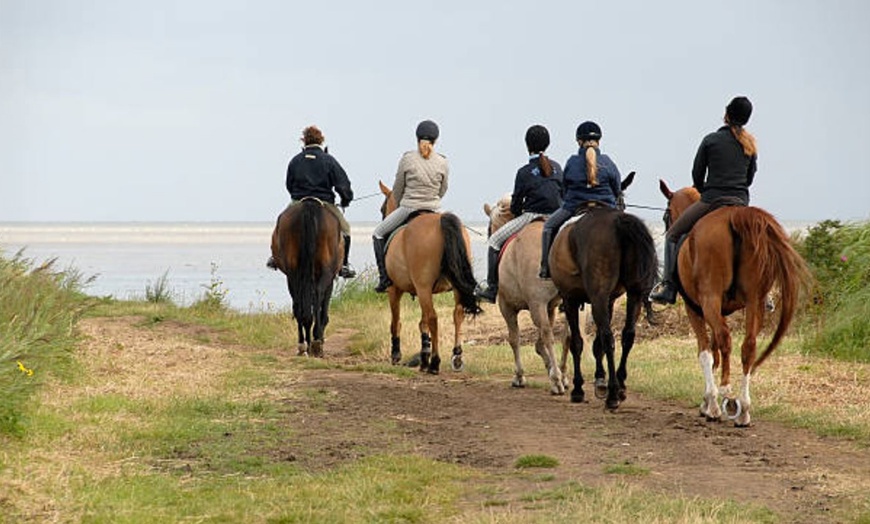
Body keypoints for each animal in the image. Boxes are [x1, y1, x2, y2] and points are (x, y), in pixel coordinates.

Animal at [270, 199, 346, 358]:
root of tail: (309, 206)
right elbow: (324, 311)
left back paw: (304, 345)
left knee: (299, 305)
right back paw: (315, 344)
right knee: (317, 297)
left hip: (293, 275)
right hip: (324, 273)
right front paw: (320, 338)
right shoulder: (330, 281)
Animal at [378, 180, 484, 372]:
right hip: (449, 287)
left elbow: (396, 322)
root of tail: (441, 221)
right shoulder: (421, 291)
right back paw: (456, 356)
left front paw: (396, 354)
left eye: (383, 209)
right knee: (457, 314)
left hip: (422, 288)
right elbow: (423, 322)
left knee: (434, 318)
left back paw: (435, 362)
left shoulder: (394, 290)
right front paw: (423, 356)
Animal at [484, 199, 600, 396]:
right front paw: (553, 369)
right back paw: (564, 376)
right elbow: (540, 343)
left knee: (549, 336)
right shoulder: (550, 306)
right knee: (567, 336)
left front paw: (520, 376)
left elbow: (515, 339)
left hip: (535, 304)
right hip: (567, 304)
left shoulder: (508, 306)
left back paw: (557, 382)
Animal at [552, 205, 660, 410]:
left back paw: (612, 395)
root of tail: (618, 222)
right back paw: (620, 385)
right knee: (627, 335)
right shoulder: (608, 301)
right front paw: (600, 381)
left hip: (597, 297)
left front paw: (578, 388)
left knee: (609, 338)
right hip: (633, 294)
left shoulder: (571, 300)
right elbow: (597, 344)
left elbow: (577, 342)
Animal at [664, 180, 816, 426]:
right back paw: (743, 409)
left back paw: (725, 392)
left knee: (726, 340)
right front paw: (709, 403)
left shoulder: (695, 309)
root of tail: (735, 216)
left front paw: (710, 403)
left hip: (710, 299)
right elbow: (715, 352)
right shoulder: (719, 311)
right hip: (755, 302)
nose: (669, 224)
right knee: (748, 346)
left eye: (667, 214)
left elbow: (706, 352)